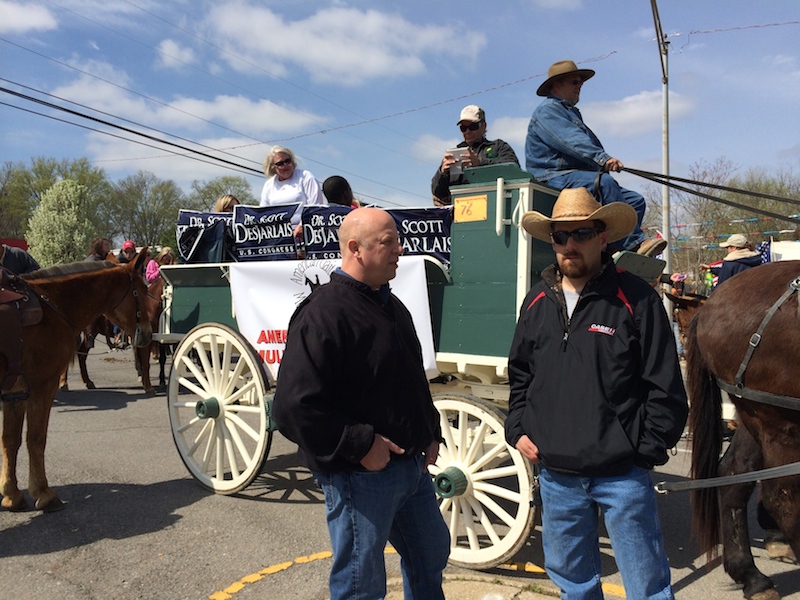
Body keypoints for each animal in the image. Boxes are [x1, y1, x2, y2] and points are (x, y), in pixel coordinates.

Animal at [0, 253, 152, 510]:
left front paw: (12, 494)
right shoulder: (43, 386)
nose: (149, 332)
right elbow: (36, 439)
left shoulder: (16, 393)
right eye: (141, 289)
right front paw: (44, 492)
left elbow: (11, 441)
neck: (51, 307)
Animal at [684, 262, 800, 600]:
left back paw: (752, 575)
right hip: (776, 420)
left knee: (736, 473)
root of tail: (710, 304)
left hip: (756, 414)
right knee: (782, 497)